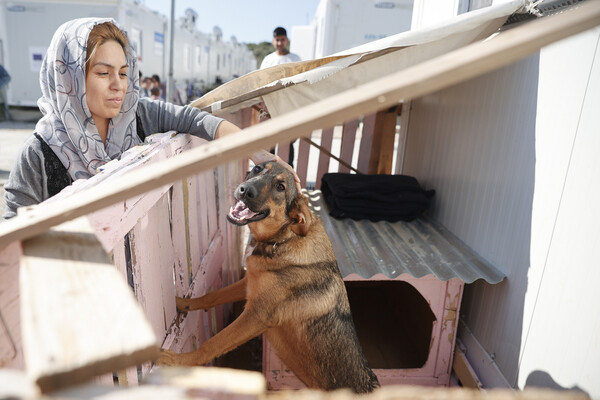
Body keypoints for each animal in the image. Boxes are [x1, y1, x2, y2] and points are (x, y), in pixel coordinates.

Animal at [157, 161, 378, 392]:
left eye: (280, 187)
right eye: (258, 169)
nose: (245, 190)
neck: (282, 240)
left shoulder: (256, 315)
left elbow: (213, 343)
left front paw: (178, 361)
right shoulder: (249, 283)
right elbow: (212, 296)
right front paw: (183, 302)